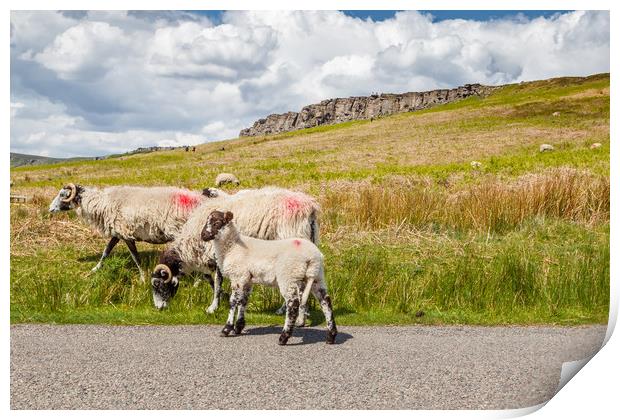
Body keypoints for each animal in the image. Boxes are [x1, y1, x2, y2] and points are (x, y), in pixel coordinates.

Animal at [50, 185, 206, 280]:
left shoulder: (126, 235)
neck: (100, 203)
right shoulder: (117, 234)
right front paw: (95, 269)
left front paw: (143, 277)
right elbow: (106, 251)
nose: (50, 209)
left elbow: (136, 258)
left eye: (62, 195)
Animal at [151, 185, 320, 314]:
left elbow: (217, 282)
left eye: (157, 284)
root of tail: (310, 207)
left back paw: (287, 310)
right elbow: (212, 279)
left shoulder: (217, 254)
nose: (158, 308)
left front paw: (213, 307)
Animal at [201, 210, 336, 344]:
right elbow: (243, 301)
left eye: (217, 223)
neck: (232, 246)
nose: (203, 235)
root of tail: (313, 256)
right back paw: (331, 336)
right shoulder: (247, 279)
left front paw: (226, 329)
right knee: (325, 301)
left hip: (288, 276)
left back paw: (284, 337)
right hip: (317, 277)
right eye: (206, 221)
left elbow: (233, 302)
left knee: (293, 304)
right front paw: (239, 326)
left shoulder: (238, 276)